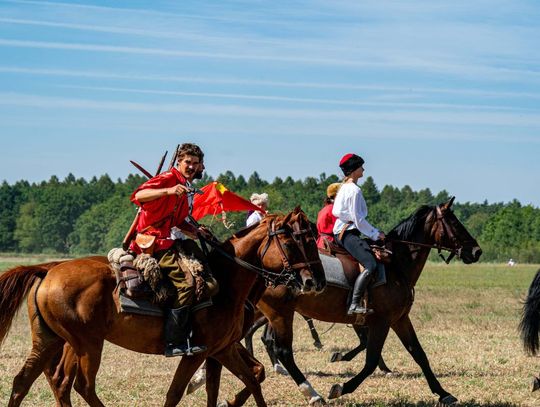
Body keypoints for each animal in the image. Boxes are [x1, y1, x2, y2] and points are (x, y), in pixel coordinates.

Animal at [0, 209, 324, 406]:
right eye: (294, 241)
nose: (316, 281)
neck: (225, 282)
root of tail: (48, 271)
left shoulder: (222, 349)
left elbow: (249, 380)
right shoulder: (198, 353)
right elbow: (176, 393)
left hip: (51, 340)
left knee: (28, 381)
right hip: (86, 344)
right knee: (81, 385)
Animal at [204, 198, 480, 404]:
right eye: (454, 222)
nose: (476, 251)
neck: (395, 266)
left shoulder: (400, 319)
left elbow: (419, 354)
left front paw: (443, 393)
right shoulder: (381, 321)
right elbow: (370, 359)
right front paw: (341, 387)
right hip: (279, 313)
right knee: (281, 350)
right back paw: (311, 392)